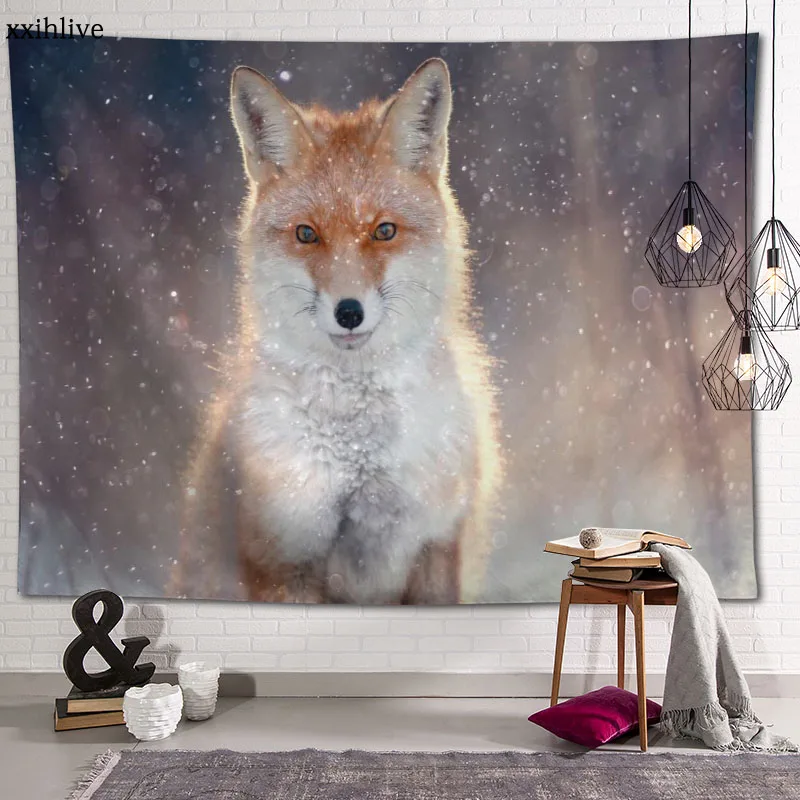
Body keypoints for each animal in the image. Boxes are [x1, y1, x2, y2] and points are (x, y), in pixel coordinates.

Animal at [169, 58, 502, 604]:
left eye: (383, 231)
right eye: (307, 234)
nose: (349, 312)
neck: (359, 455)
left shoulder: (435, 542)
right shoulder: (283, 554)